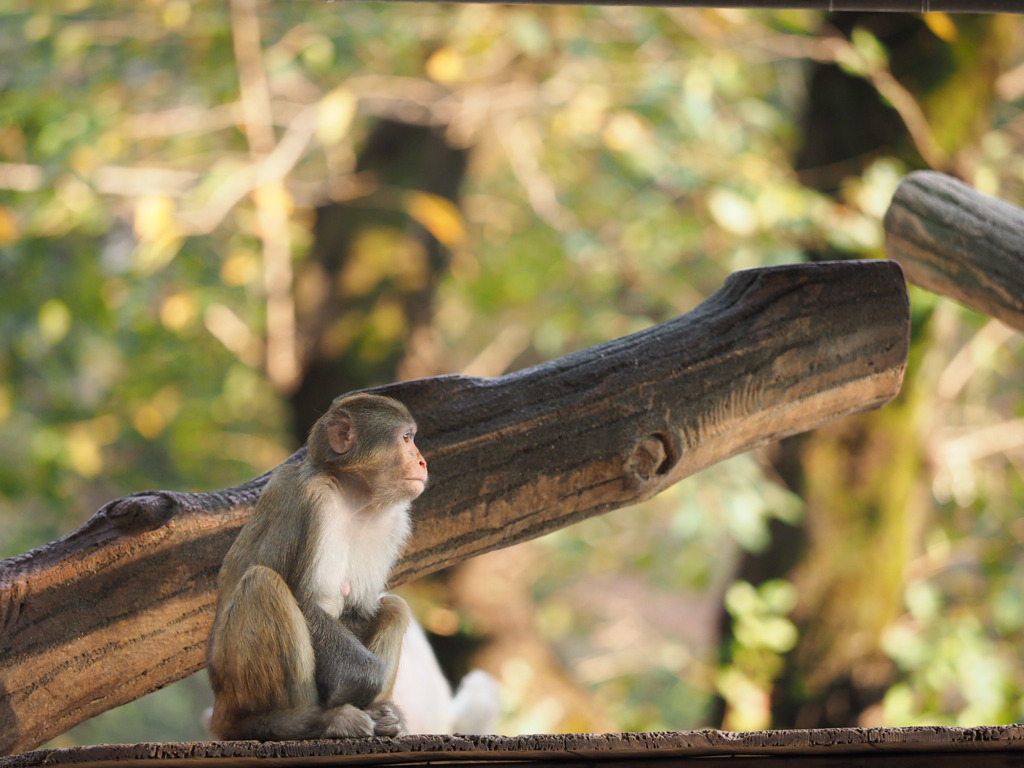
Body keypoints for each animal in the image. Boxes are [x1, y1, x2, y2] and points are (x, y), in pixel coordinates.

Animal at [205, 393, 430, 741]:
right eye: (406, 438)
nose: (421, 461)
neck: (353, 498)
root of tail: (220, 707)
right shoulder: (315, 500)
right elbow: (307, 600)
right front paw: (365, 682)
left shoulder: (392, 522)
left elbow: (357, 610)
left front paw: (383, 712)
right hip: (234, 688)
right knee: (262, 583)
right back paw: (295, 723)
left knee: (394, 606)